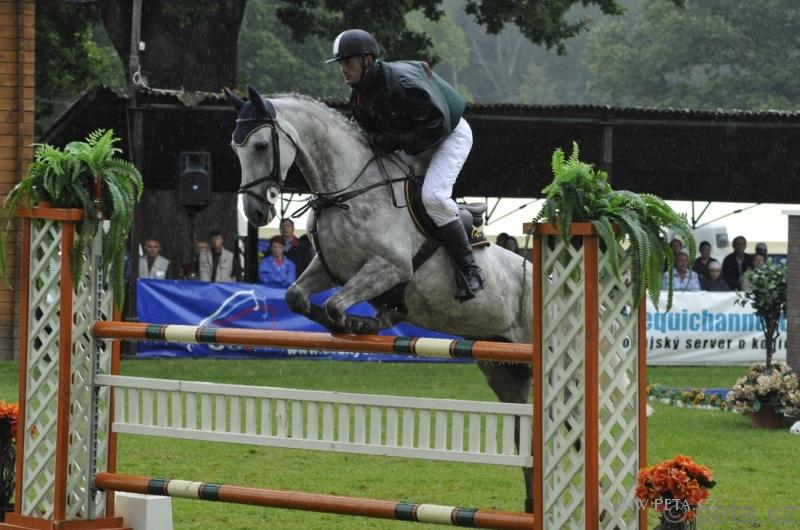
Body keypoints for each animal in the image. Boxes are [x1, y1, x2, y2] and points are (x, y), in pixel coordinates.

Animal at [226, 87, 534, 509]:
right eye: (234, 148)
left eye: (259, 145)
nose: (256, 212)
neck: (347, 192)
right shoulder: (329, 267)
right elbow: (295, 297)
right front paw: (360, 322)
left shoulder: (390, 267)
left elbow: (337, 304)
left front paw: (359, 321)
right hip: (503, 371)